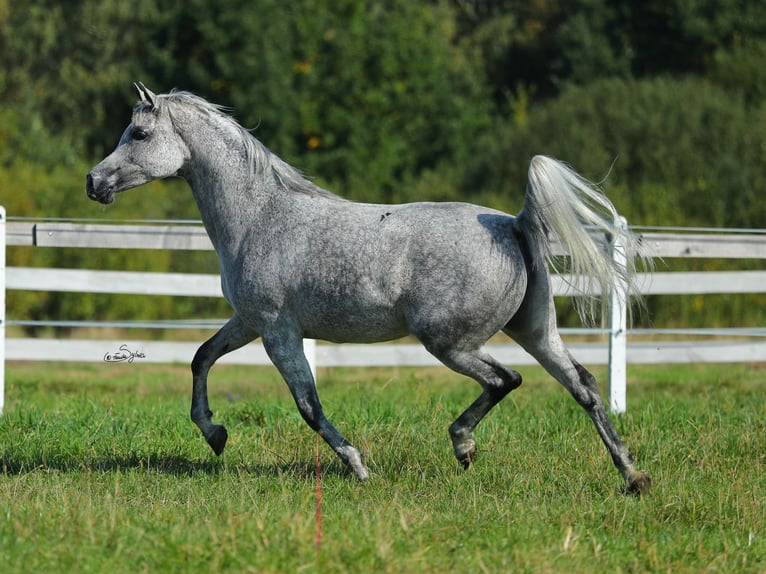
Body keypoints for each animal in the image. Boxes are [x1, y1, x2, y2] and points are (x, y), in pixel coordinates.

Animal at [90, 83, 656, 498]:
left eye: (139, 132)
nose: (93, 183)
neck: (258, 218)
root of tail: (515, 224)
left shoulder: (277, 331)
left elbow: (308, 405)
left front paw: (358, 467)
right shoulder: (249, 322)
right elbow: (201, 358)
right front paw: (215, 435)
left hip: (450, 342)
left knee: (506, 380)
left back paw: (464, 446)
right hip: (534, 330)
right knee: (583, 385)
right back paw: (632, 476)